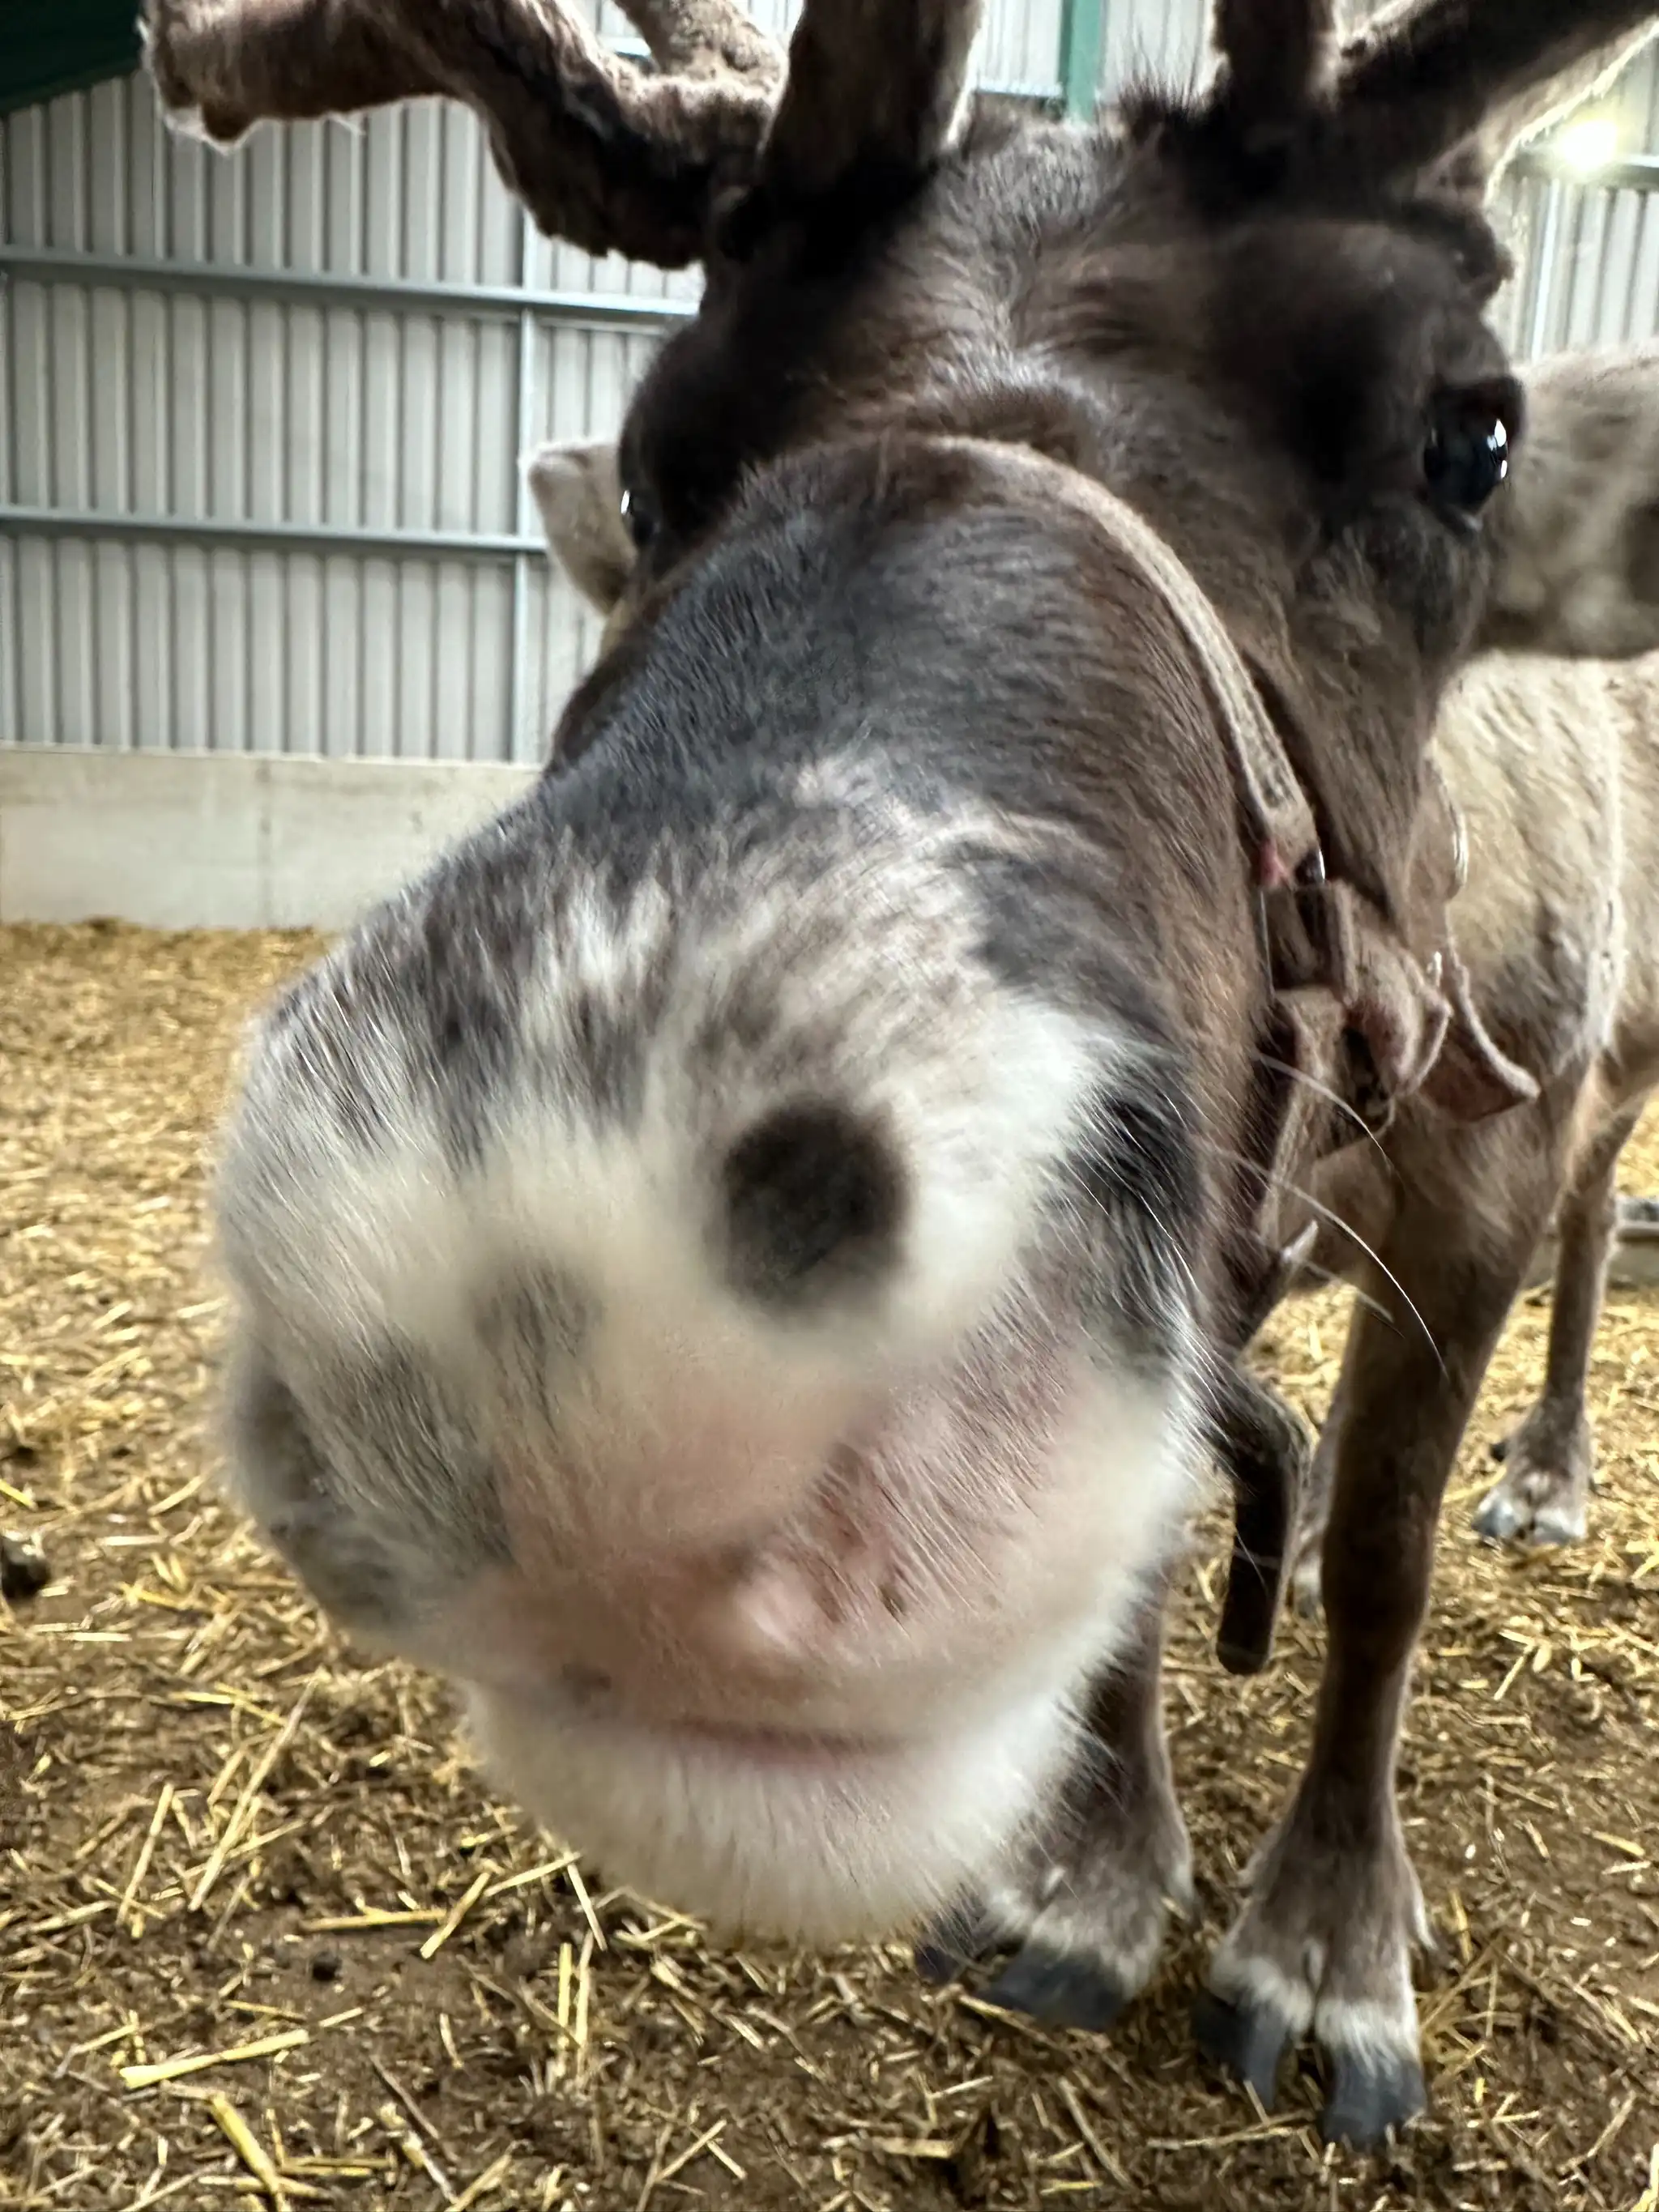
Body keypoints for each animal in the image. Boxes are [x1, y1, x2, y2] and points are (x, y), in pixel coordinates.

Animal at [144, 0, 1659, 2150]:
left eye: (1470, 436)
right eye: (659, 454)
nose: (542, 1273)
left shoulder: (1484, 1157)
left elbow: (1381, 1557)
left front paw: (1327, 1951)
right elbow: (1163, 1540)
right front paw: (1090, 1881)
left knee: (1597, 1235)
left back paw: (1545, 1471)